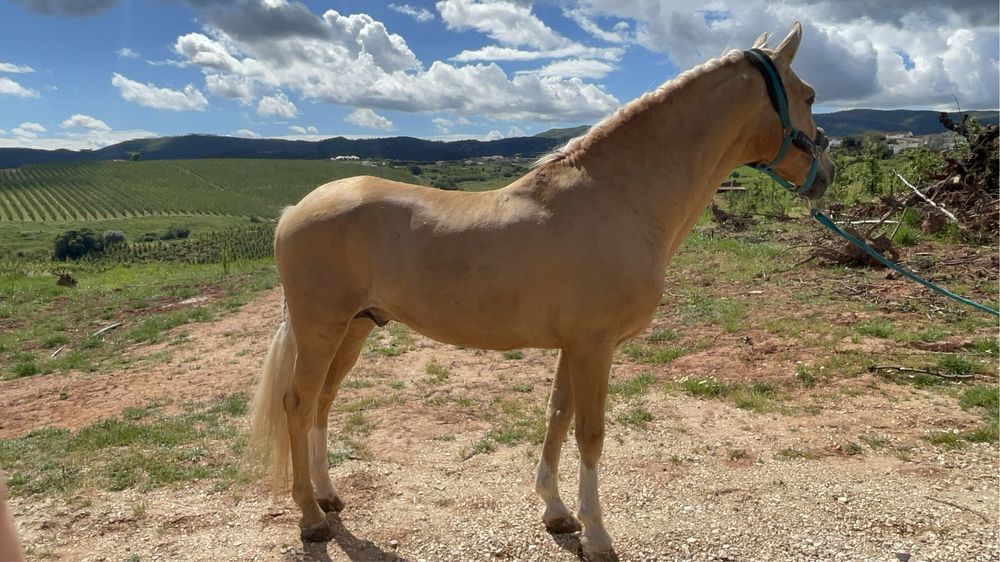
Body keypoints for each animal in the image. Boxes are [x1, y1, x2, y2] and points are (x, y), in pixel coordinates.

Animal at [246, 22, 835, 560]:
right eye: (808, 95)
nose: (826, 172)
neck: (619, 198)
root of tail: (294, 210)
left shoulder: (574, 346)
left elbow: (558, 416)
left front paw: (556, 512)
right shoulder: (595, 345)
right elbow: (591, 432)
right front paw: (597, 535)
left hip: (354, 329)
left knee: (322, 403)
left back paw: (329, 498)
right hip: (320, 329)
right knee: (297, 404)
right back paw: (310, 519)